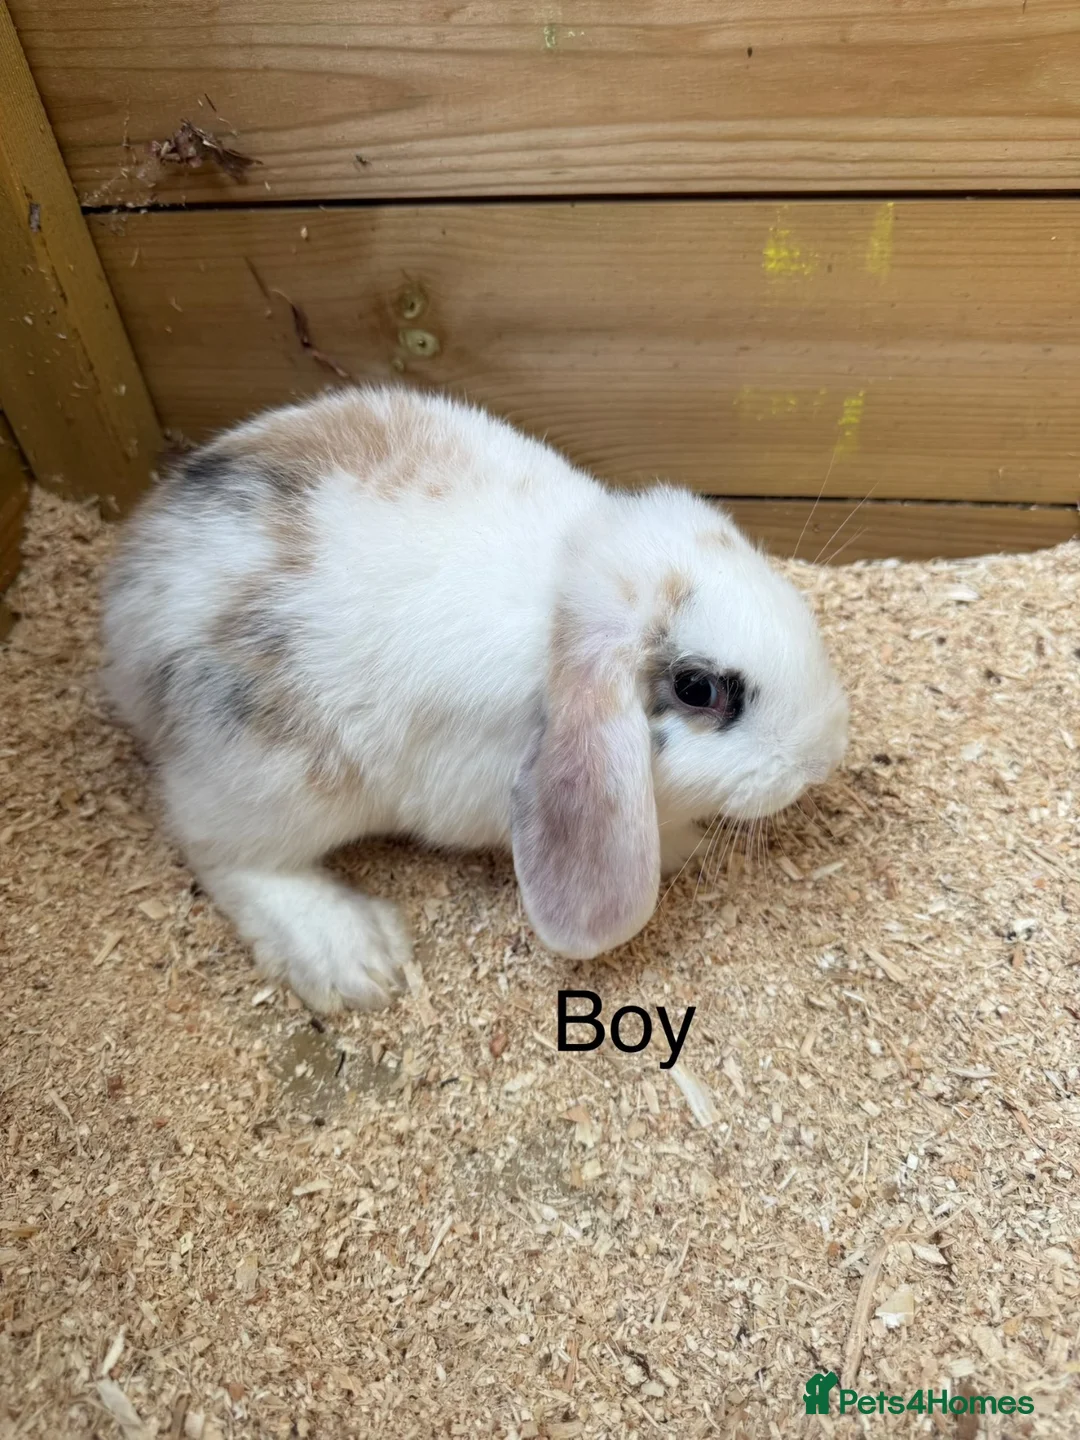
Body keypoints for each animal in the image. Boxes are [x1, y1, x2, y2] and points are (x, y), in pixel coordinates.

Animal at [102, 385, 849, 1013]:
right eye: (699, 689)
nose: (825, 755)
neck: (560, 602)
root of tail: (127, 600)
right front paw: (683, 845)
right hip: (273, 780)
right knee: (219, 850)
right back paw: (357, 957)